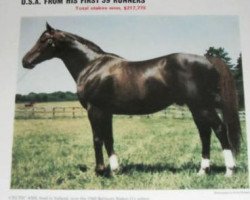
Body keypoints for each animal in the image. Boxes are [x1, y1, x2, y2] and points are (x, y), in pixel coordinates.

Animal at [22, 23, 241, 177]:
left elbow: (97, 138)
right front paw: (115, 170)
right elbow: (109, 138)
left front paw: (100, 171)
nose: (25, 61)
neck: (92, 66)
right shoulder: (106, 111)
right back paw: (202, 170)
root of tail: (208, 59)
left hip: (202, 106)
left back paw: (229, 170)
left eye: (45, 41)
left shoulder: (95, 110)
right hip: (196, 107)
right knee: (205, 133)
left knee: (219, 129)